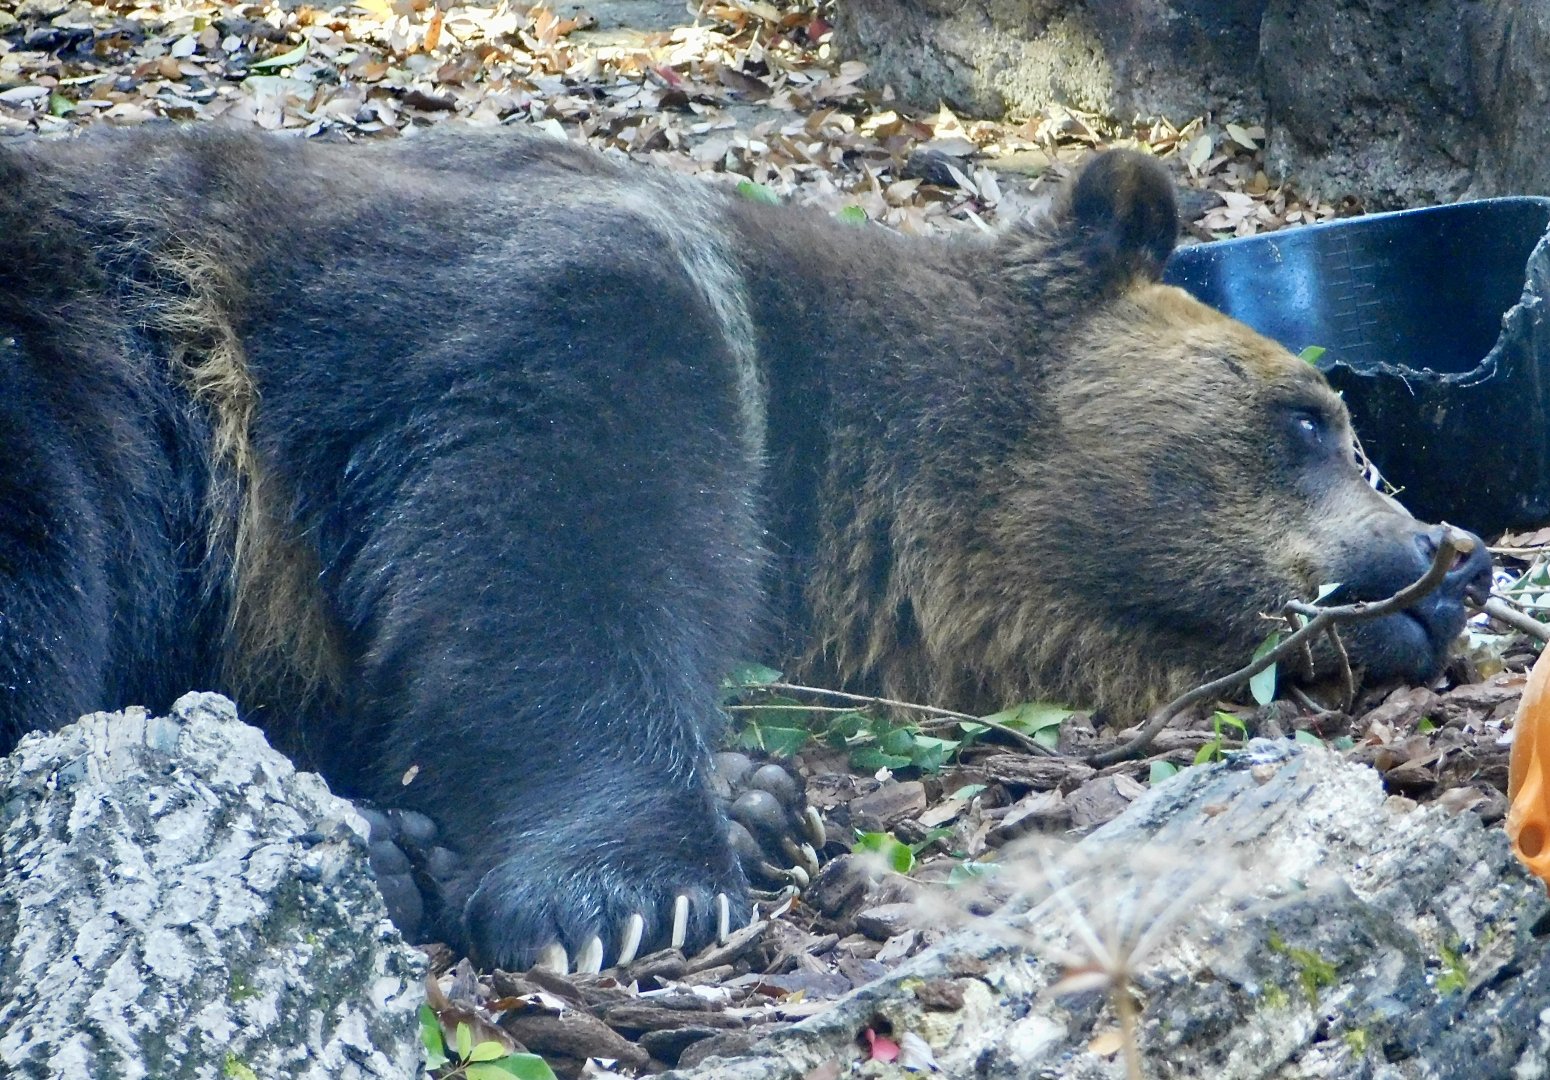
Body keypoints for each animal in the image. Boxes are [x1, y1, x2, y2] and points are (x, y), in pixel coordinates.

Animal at [0, 127, 1491, 972]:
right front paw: (635, 885)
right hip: (70, 384)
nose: (1452, 554)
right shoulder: (488, 314)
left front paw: (760, 797)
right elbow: (549, 531)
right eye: (1306, 419)